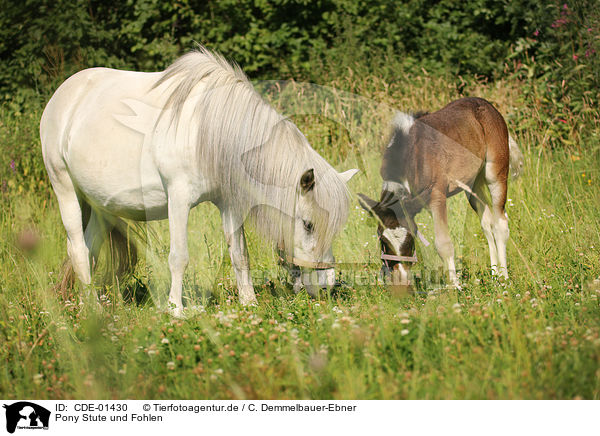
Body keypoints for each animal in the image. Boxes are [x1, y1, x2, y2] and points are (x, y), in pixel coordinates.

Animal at [41, 46, 356, 316]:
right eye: (308, 224)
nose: (326, 285)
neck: (209, 130)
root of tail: (63, 95)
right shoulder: (178, 200)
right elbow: (179, 257)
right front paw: (175, 310)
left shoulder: (229, 203)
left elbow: (240, 255)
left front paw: (249, 303)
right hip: (64, 188)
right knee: (78, 250)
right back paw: (94, 311)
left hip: (102, 206)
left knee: (89, 250)